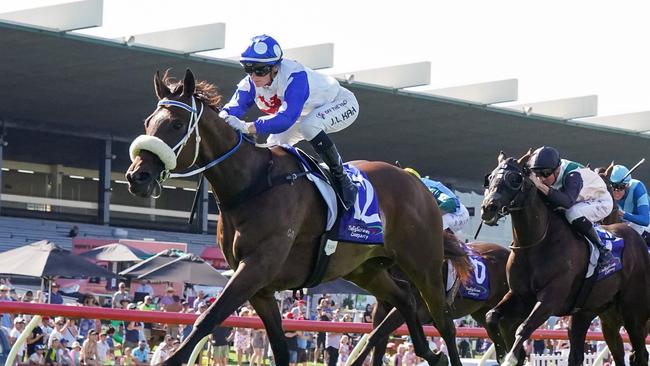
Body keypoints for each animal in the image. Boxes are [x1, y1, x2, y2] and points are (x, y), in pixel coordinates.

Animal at [124, 70, 468, 364]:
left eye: (176, 124)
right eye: (148, 122)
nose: (137, 177)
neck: (253, 185)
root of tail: (419, 185)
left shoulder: (256, 268)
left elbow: (207, 319)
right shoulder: (261, 288)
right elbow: (278, 347)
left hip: (423, 265)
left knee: (444, 322)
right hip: (365, 269)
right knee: (405, 300)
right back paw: (429, 353)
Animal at [478, 151, 644, 366]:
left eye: (514, 180)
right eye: (490, 178)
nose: (488, 208)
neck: (536, 244)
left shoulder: (552, 297)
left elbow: (525, 327)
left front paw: (512, 357)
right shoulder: (520, 296)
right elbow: (492, 317)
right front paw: (504, 353)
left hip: (634, 312)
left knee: (640, 351)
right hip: (592, 312)